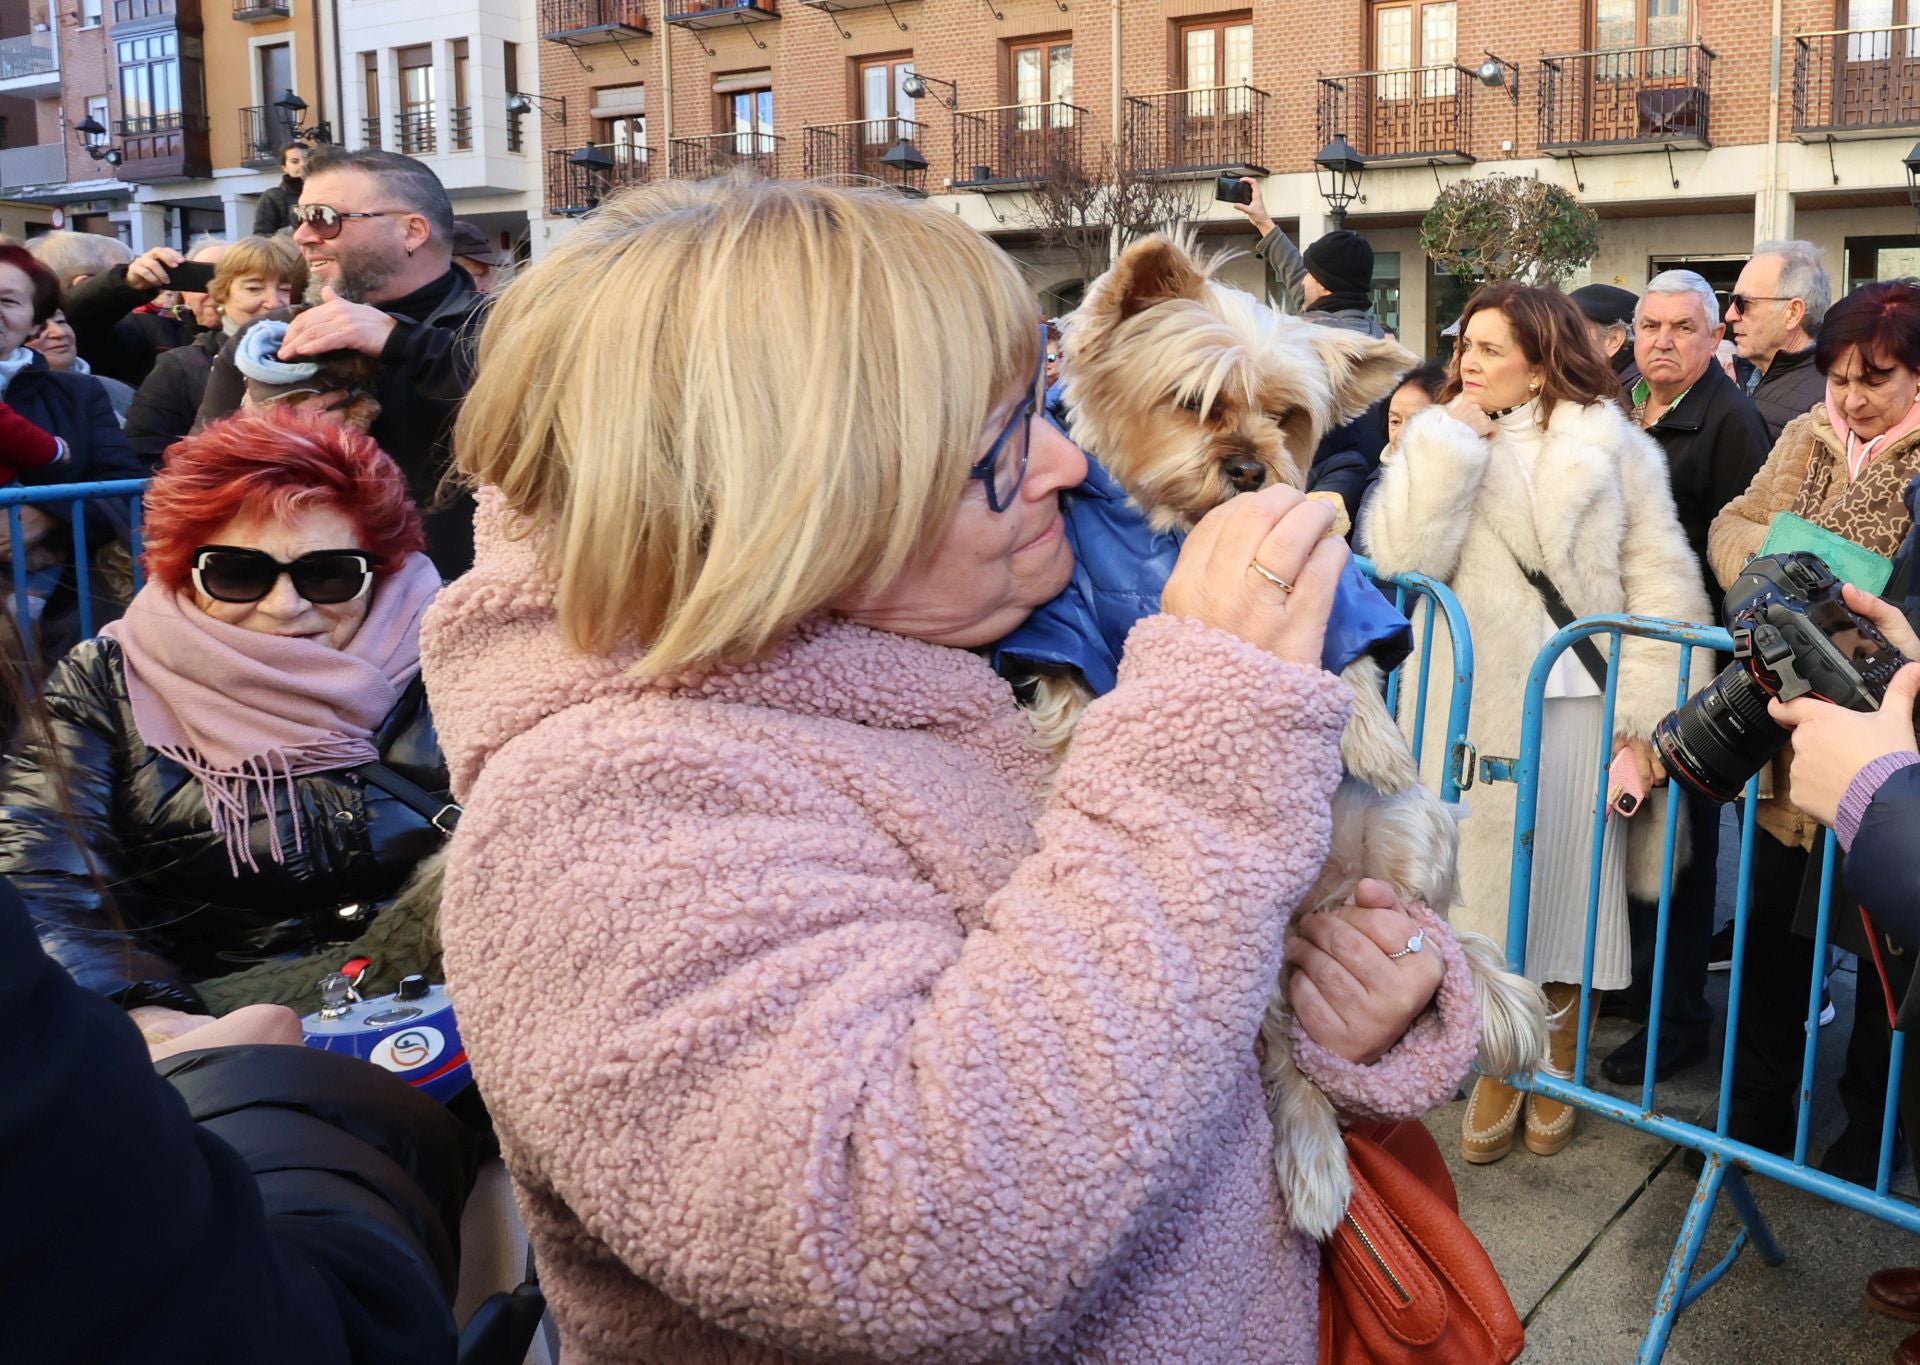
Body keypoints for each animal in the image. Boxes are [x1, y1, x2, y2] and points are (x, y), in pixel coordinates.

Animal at [1036, 232, 1543, 1236]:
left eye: (1286, 416)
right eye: (1193, 402)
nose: (1249, 468)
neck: (1169, 536)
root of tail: (1320, 903)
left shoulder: (1336, 581)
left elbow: (1347, 664)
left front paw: (1377, 741)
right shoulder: (1063, 609)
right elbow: (1071, 683)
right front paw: (1072, 747)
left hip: (1409, 841)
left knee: (1437, 934)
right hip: (1262, 979)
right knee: (1285, 1061)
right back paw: (1314, 1162)